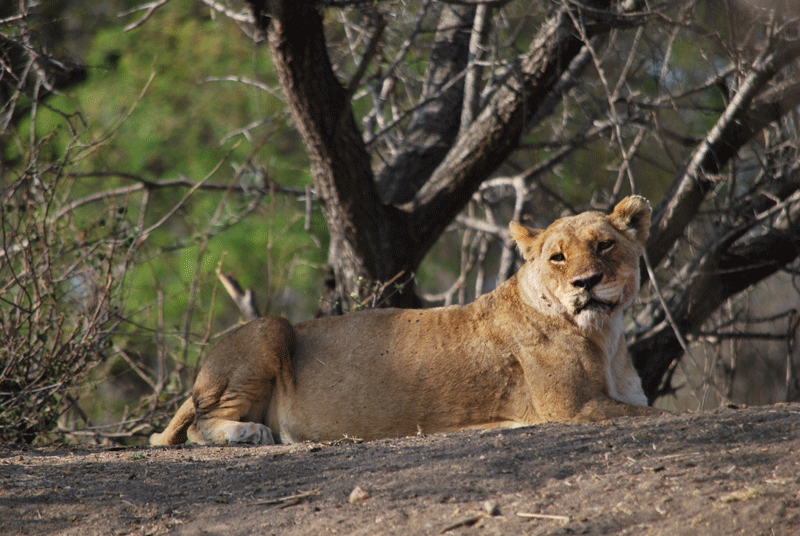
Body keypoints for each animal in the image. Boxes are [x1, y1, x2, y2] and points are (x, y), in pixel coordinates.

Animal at [150, 195, 657, 446]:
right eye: (558, 257)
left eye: (605, 246)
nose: (586, 282)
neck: (607, 337)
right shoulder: (571, 407)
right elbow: (666, 414)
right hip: (271, 327)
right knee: (194, 426)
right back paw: (249, 433)